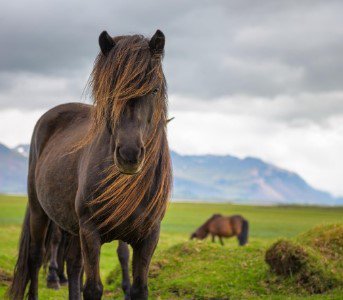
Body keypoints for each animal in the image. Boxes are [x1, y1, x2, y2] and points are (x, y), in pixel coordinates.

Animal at [8, 28, 172, 300]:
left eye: (155, 90)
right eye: (110, 91)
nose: (129, 154)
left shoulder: (149, 236)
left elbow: (138, 286)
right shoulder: (90, 232)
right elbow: (93, 288)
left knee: (74, 265)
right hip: (40, 211)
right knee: (36, 257)